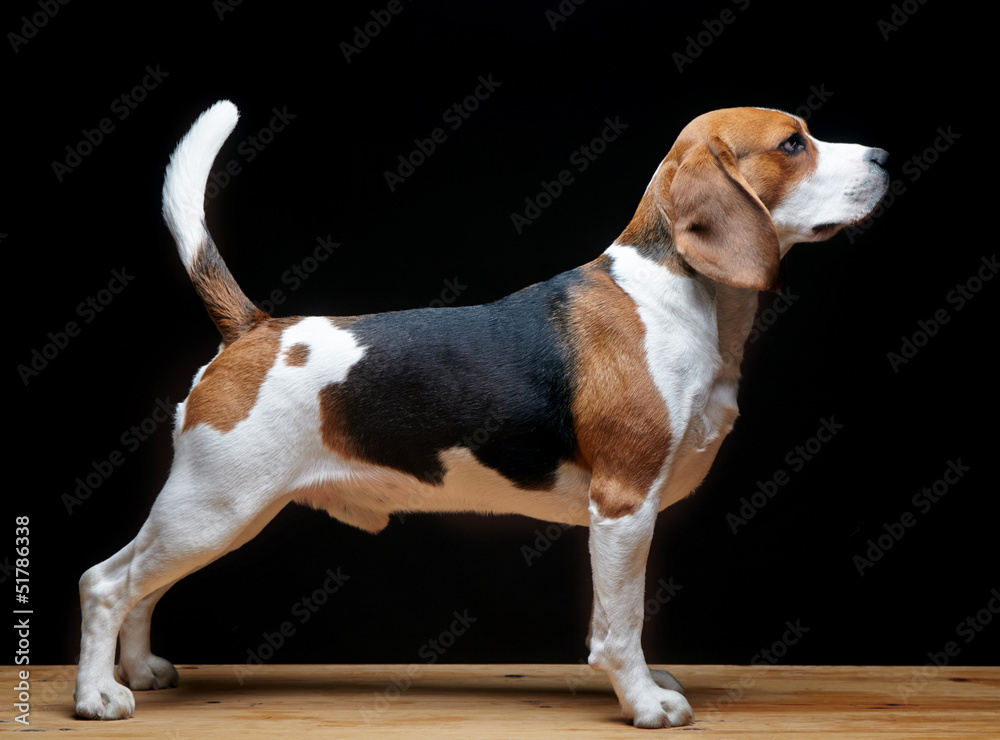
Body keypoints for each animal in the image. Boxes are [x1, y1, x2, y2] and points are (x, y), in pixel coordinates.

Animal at [78, 101, 892, 724]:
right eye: (793, 143)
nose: (885, 153)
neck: (681, 289)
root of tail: (255, 330)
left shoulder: (624, 515)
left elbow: (618, 621)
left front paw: (643, 687)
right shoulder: (624, 507)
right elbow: (621, 623)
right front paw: (643, 703)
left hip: (205, 515)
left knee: (141, 586)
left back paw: (139, 671)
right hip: (215, 508)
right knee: (105, 583)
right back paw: (98, 697)